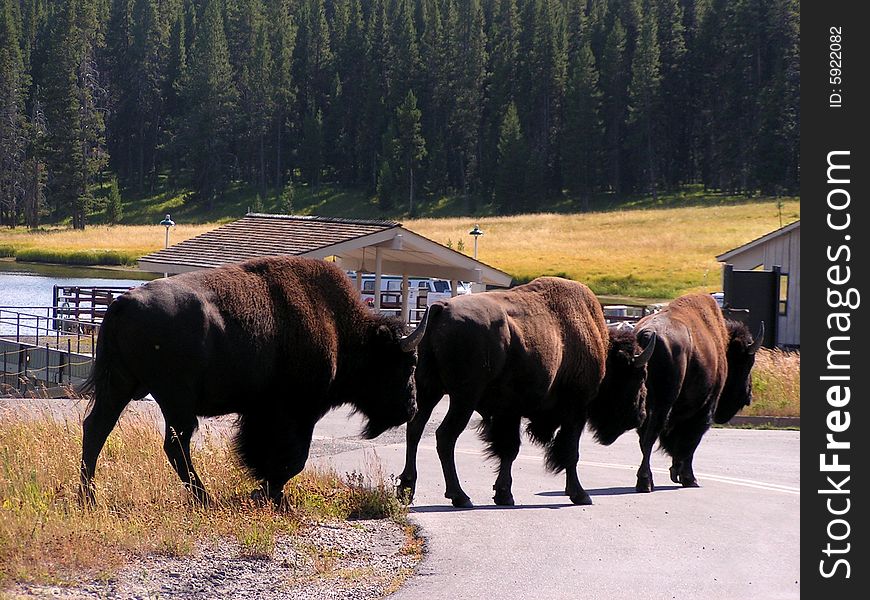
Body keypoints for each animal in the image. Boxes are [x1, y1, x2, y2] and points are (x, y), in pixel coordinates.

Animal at [80, 255, 428, 504]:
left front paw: (265, 489)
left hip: (121, 386)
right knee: (174, 444)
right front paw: (269, 492)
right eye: (407, 364)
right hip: (173, 399)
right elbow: (292, 458)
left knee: (97, 429)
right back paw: (203, 498)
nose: (411, 407)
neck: (340, 330)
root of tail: (120, 304)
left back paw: (88, 497)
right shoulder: (297, 413)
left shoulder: (261, 412)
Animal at [396, 276, 656, 506]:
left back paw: (407, 489)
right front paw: (580, 495)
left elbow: (509, 449)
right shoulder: (575, 410)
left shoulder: (509, 411)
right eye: (640, 376)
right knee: (445, 436)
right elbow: (570, 452)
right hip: (463, 398)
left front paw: (503, 495)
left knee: (415, 429)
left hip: (428, 390)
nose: (641, 415)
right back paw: (460, 496)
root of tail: (441, 308)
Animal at [632, 292, 768, 492]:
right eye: (748, 363)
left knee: (644, 438)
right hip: (663, 404)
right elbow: (690, 442)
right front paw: (689, 479)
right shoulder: (705, 408)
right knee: (650, 436)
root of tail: (647, 335)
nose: (748, 396)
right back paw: (646, 482)